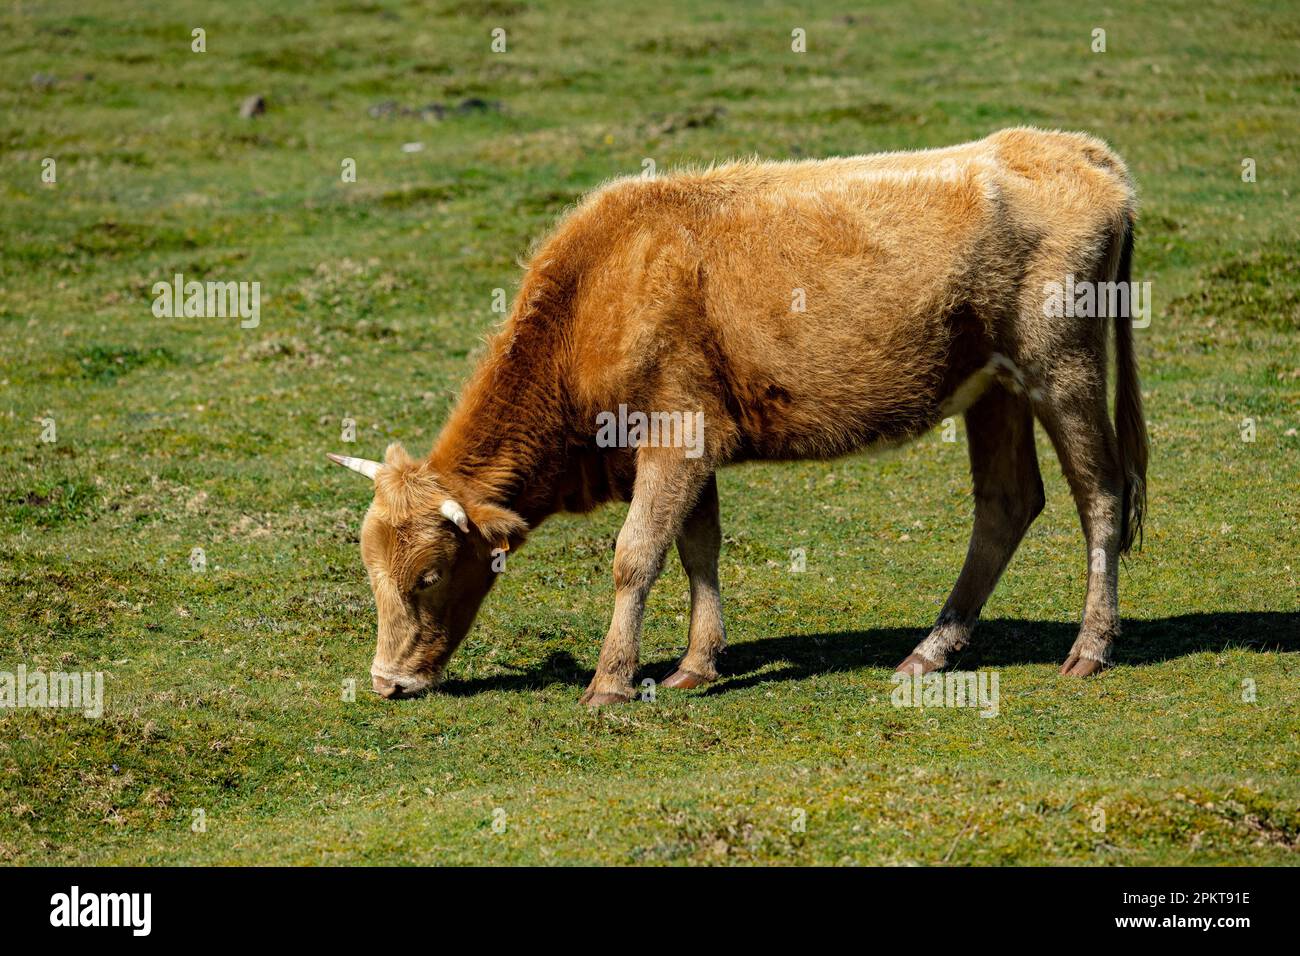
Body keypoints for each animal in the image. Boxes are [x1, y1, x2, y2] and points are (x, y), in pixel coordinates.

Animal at [328, 127, 1148, 706]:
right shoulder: (691, 443)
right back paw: (931, 650)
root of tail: (1079, 151)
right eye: (370, 570)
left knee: (1101, 494)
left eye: (430, 574)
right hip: (995, 388)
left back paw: (1089, 648)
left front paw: (609, 682)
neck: (600, 291)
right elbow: (699, 548)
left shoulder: (675, 437)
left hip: (1062, 366)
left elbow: (637, 554)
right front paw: (696, 664)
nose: (388, 682)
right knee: (1007, 503)